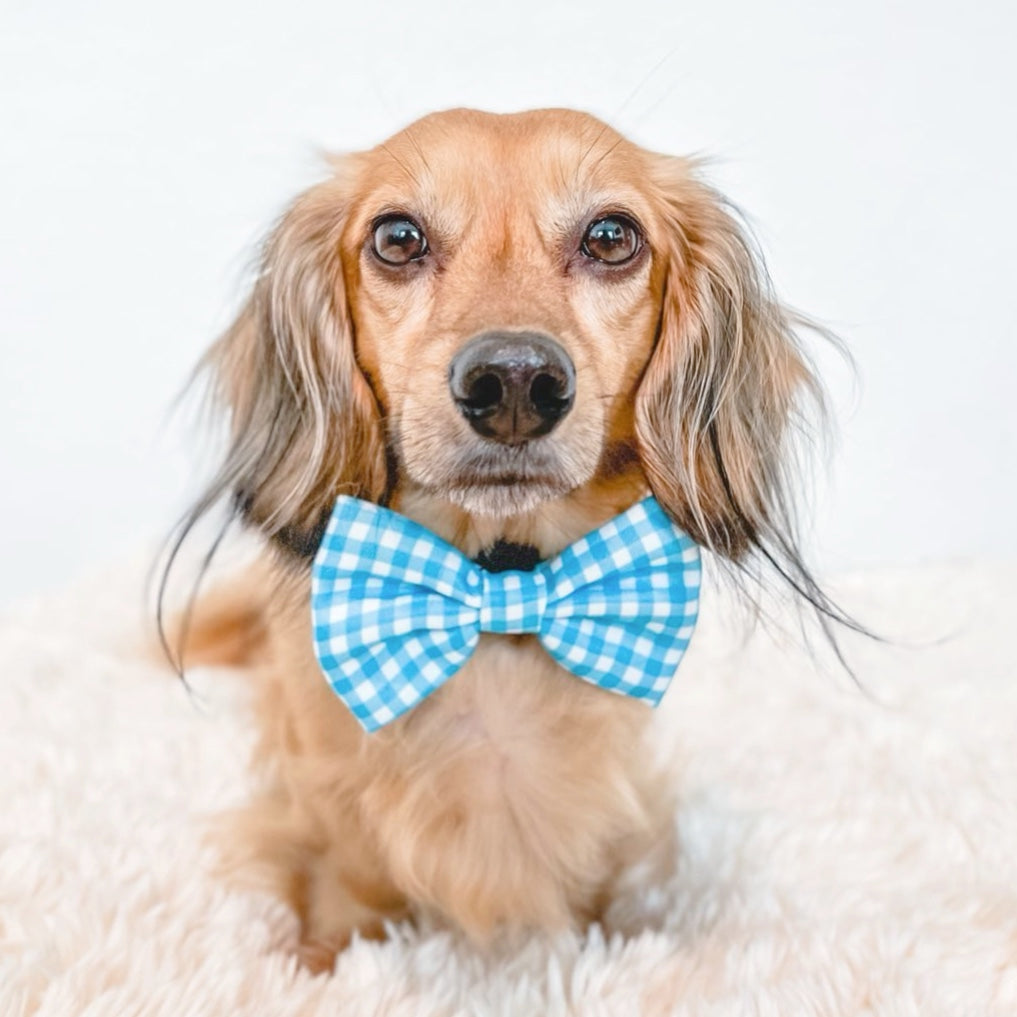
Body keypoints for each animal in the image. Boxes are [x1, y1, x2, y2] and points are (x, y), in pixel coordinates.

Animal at [170, 107, 846, 972]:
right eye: (397, 237)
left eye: (610, 236)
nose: (516, 382)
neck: (496, 590)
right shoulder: (325, 792)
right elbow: (344, 872)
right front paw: (331, 959)